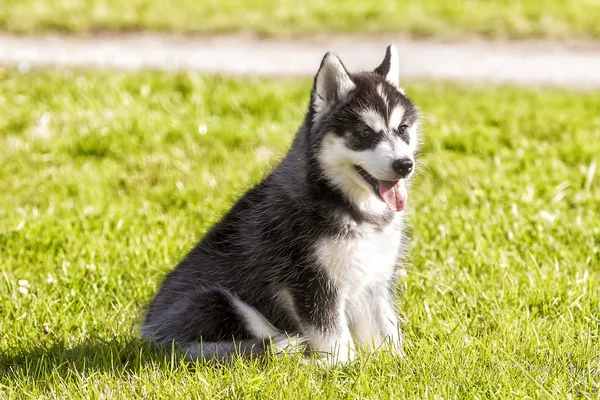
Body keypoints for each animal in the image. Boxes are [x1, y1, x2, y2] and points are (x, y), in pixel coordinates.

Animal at [142, 45, 420, 364]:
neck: (351, 206)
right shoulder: (311, 282)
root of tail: (150, 334)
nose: (404, 165)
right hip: (216, 300)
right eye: (364, 133)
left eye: (403, 129)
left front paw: (395, 364)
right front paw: (340, 367)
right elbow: (333, 338)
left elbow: (386, 331)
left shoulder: (375, 281)